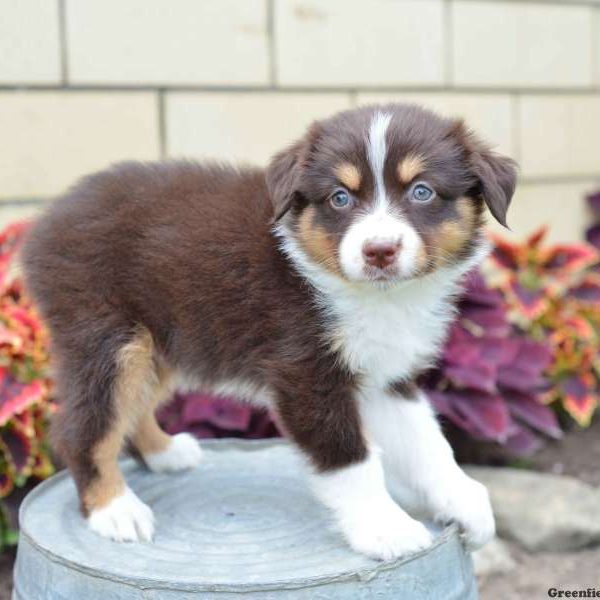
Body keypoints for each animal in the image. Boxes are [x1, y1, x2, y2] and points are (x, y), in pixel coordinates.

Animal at [21, 104, 512, 564]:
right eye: (339, 198)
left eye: (422, 191)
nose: (379, 251)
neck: (375, 297)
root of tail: (44, 221)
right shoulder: (305, 375)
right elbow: (350, 459)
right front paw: (385, 528)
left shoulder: (385, 377)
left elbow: (427, 443)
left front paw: (466, 504)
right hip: (107, 338)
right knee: (81, 426)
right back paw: (115, 509)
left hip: (161, 340)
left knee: (132, 406)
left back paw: (164, 453)